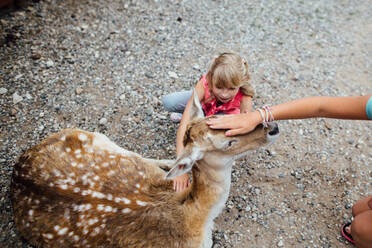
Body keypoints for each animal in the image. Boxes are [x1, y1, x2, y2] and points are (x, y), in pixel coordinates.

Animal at [10, 91, 280, 248]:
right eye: (228, 143)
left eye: (223, 115)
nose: (273, 128)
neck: (197, 218)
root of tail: (17, 173)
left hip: (90, 135)